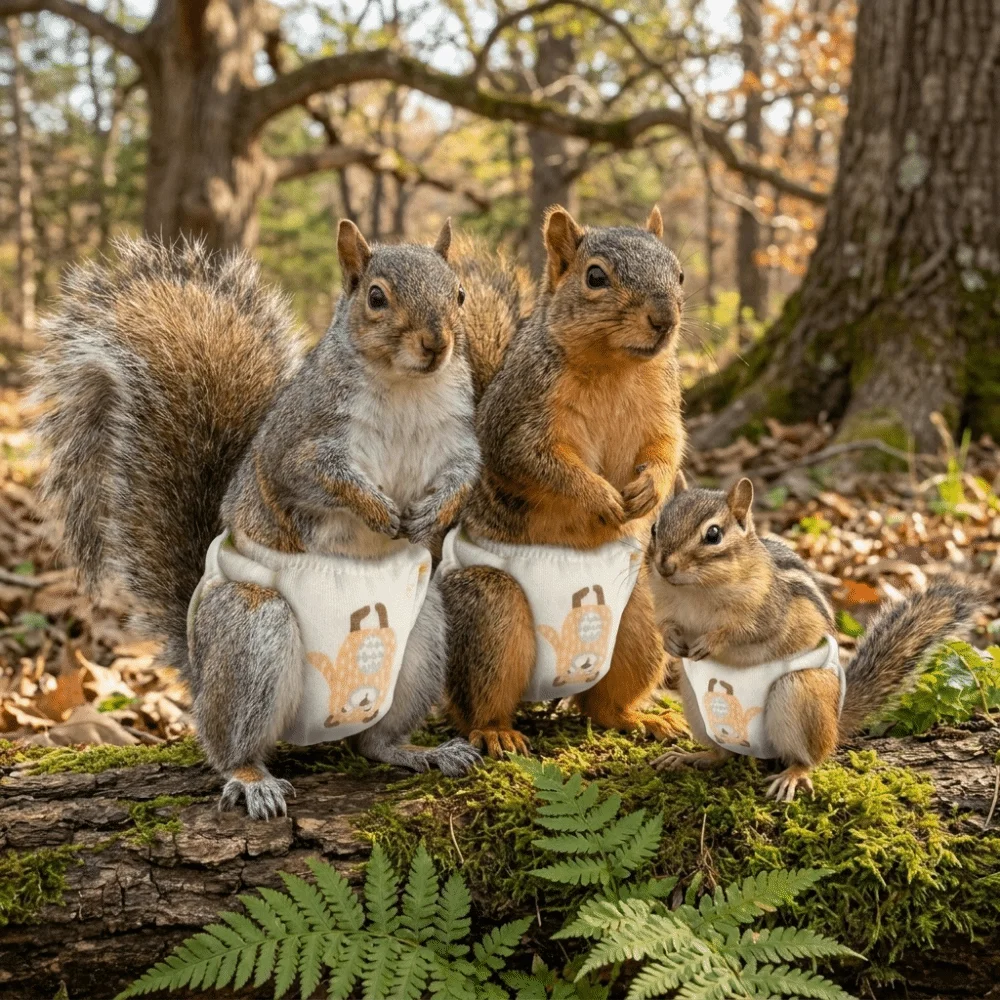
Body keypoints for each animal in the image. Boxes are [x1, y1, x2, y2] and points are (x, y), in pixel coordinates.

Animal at [34, 221, 487, 819]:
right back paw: (252, 779)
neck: (407, 389)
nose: (437, 344)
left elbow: (463, 477)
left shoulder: (458, 438)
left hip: (423, 634)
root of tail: (200, 672)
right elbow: (321, 479)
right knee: (228, 745)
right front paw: (376, 508)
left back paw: (421, 752)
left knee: (373, 742)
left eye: (458, 294)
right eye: (376, 297)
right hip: (252, 632)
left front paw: (430, 516)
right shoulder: (297, 446)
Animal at [439, 205, 688, 757]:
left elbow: (667, 450)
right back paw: (496, 732)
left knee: (599, 705)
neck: (617, 367)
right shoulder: (519, 423)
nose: (665, 319)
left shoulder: (663, 410)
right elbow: (542, 464)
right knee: (474, 705)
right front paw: (600, 496)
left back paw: (641, 718)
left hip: (641, 619)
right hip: (491, 612)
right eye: (595, 277)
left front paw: (651, 490)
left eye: (680, 273)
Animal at [647, 474, 978, 800]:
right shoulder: (662, 606)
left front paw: (711, 641)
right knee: (724, 753)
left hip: (800, 691)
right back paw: (691, 757)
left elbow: (742, 631)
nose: (665, 566)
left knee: (812, 757)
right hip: (696, 702)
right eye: (654, 526)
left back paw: (794, 774)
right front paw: (671, 641)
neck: (694, 592)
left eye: (713, 535)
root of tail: (835, 719)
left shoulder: (768, 611)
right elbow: (663, 625)